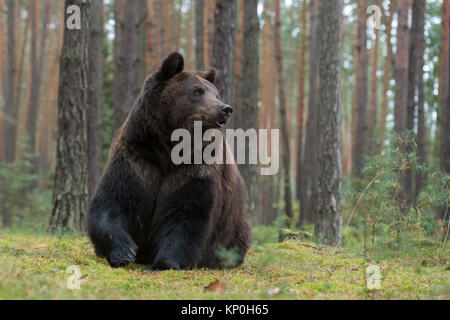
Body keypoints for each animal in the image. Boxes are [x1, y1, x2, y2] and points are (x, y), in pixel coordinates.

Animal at [86, 52, 251, 270]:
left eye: (216, 94)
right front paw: (124, 252)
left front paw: (164, 262)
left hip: (233, 227)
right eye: (197, 91)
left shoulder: (194, 167)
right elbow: (114, 200)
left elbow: (186, 214)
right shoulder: (137, 159)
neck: (167, 149)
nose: (225, 109)